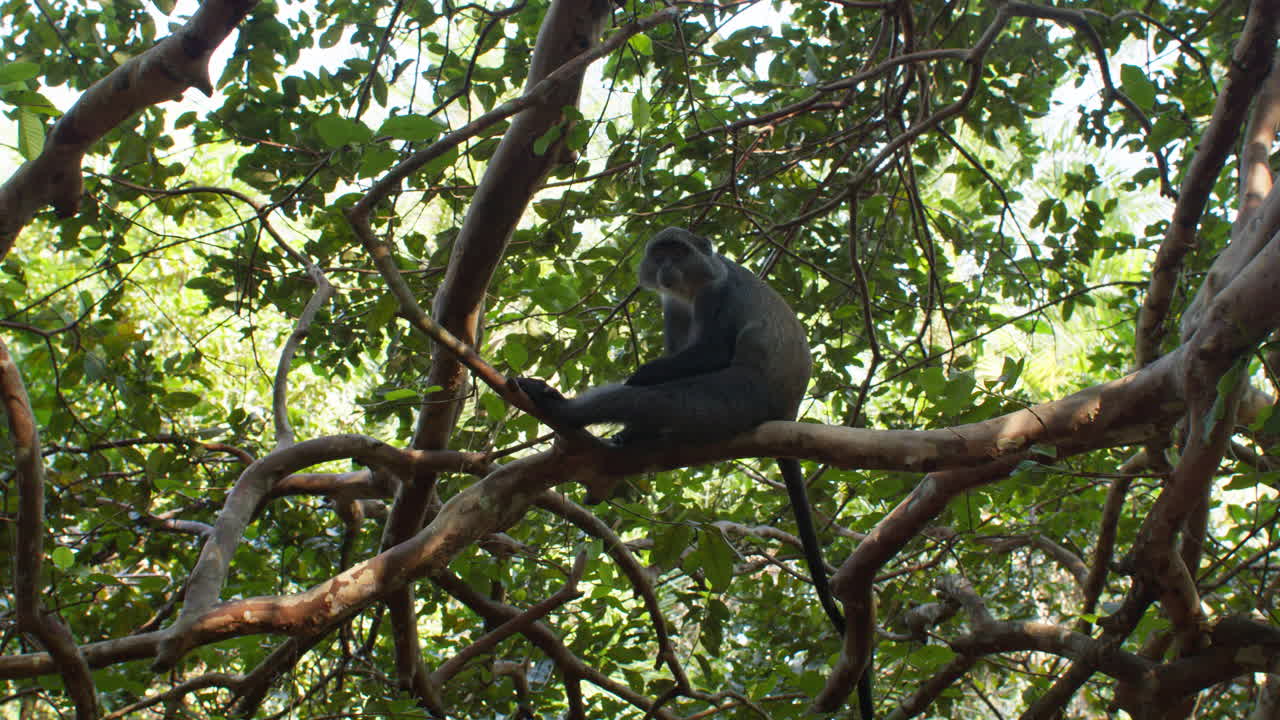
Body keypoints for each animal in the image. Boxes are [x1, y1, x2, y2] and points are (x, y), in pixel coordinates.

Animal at [517, 227, 874, 719]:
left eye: (679, 253)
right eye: (660, 254)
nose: (666, 267)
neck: (688, 289)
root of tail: (786, 409)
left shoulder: (716, 292)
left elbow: (708, 352)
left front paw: (640, 374)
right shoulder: (672, 306)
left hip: (739, 397)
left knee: (662, 398)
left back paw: (568, 410)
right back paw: (629, 433)